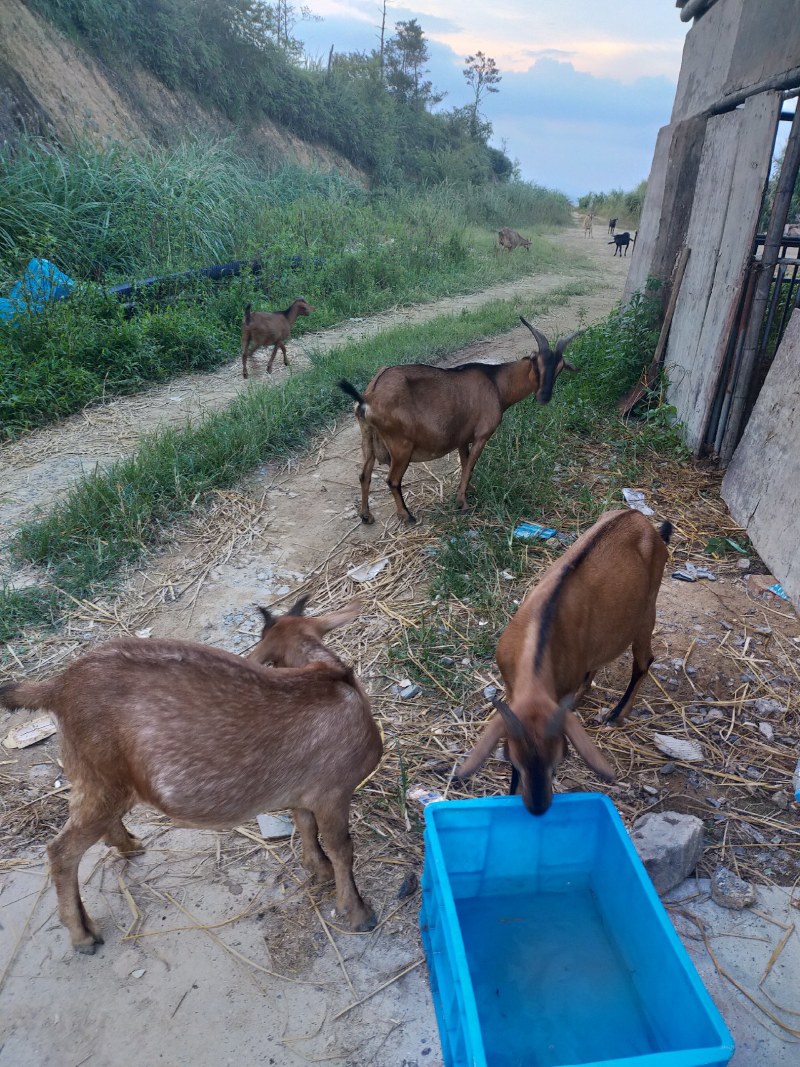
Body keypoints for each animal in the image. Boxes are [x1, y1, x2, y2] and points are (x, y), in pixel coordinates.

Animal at [0, 597, 381, 956]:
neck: (332, 680)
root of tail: (58, 686)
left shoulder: (303, 793)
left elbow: (306, 826)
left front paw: (319, 870)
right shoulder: (332, 792)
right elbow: (342, 847)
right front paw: (357, 913)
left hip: (97, 777)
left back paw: (128, 846)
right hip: (101, 777)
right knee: (61, 851)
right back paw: (82, 934)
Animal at [339, 320, 584, 529]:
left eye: (560, 368)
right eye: (536, 363)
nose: (544, 396)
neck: (496, 383)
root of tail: (369, 398)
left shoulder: (462, 438)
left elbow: (466, 464)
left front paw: (468, 492)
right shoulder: (482, 435)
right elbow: (470, 467)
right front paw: (462, 503)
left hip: (368, 439)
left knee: (364, 475)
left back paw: (366, 516)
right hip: (401, 446)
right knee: (392, 480)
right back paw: (407, 516)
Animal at [454, 512, 674, 810]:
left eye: (558, 760)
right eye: (514, 760)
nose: (537, 807)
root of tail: (640, 518)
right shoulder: (513, 691)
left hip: (647, 610)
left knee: (644, 661)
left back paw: (617, 714)